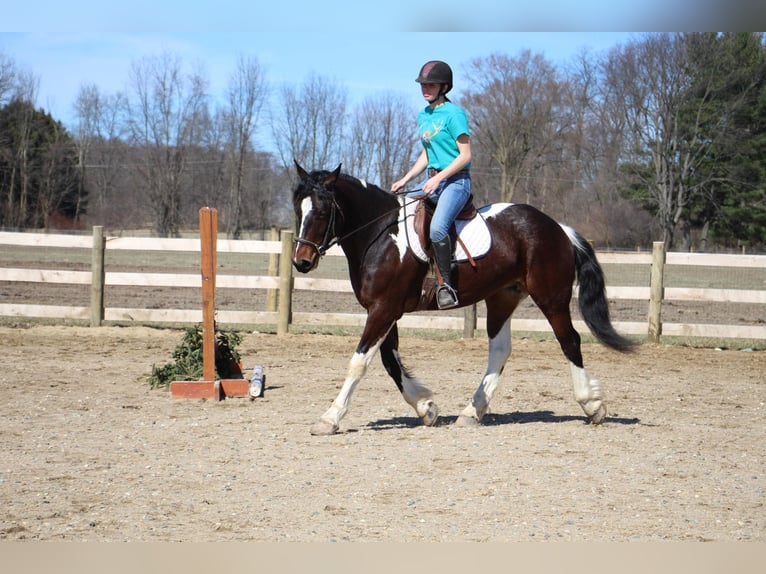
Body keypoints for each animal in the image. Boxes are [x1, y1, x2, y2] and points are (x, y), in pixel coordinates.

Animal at [292, 162, 640, 436]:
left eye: (322, 211)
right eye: (298, 209)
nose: (301, 262)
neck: (381, 235)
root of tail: (557, 228)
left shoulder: (383, 309)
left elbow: (359, 363)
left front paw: (330, 418)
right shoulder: (382, 310)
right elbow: (390, 362)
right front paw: (426, 406)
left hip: (551, 297)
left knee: (569, 340)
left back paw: (592, 406)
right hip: (502, 298)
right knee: (500, 350)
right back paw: (472, 412)